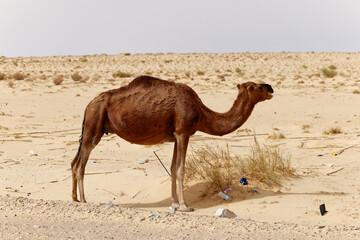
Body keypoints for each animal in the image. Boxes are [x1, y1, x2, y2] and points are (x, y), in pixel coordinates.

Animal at [71, 75, 272, 212]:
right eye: (255, 87)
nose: (270, 88)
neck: (201, 111)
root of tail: (88, 105)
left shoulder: (176, 136)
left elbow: (173, 168)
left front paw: (174, 203)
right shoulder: (184, 133)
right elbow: (181, 168)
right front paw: (185, 206)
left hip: (92, 123)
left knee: (74, 162)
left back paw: (74, 198)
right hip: (94, 122)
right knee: (81, 163)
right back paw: (84, 200)